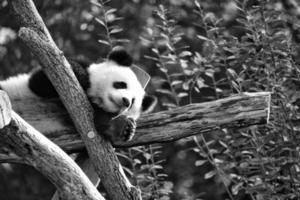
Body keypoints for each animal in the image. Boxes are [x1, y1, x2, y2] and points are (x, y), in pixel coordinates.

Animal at [0, 46, 155, 141]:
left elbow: (98, 121)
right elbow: (42, 81)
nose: (126, 101)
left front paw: (122, 128)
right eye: (121, 84)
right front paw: (82, 76)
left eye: (133, 102)